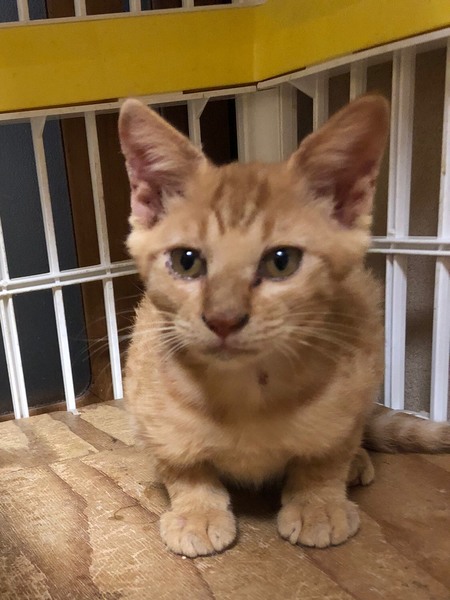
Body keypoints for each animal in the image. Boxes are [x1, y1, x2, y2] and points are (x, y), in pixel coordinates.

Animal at [119, 94, 450, 558]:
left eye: (281, 262)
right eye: (187, 261)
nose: (223, 318)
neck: (245, 393)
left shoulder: (356, 379)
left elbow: (327, 454)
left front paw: (318, 504)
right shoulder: (147, 395)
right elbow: (181, 464)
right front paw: (197, 510)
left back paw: (357, 462)